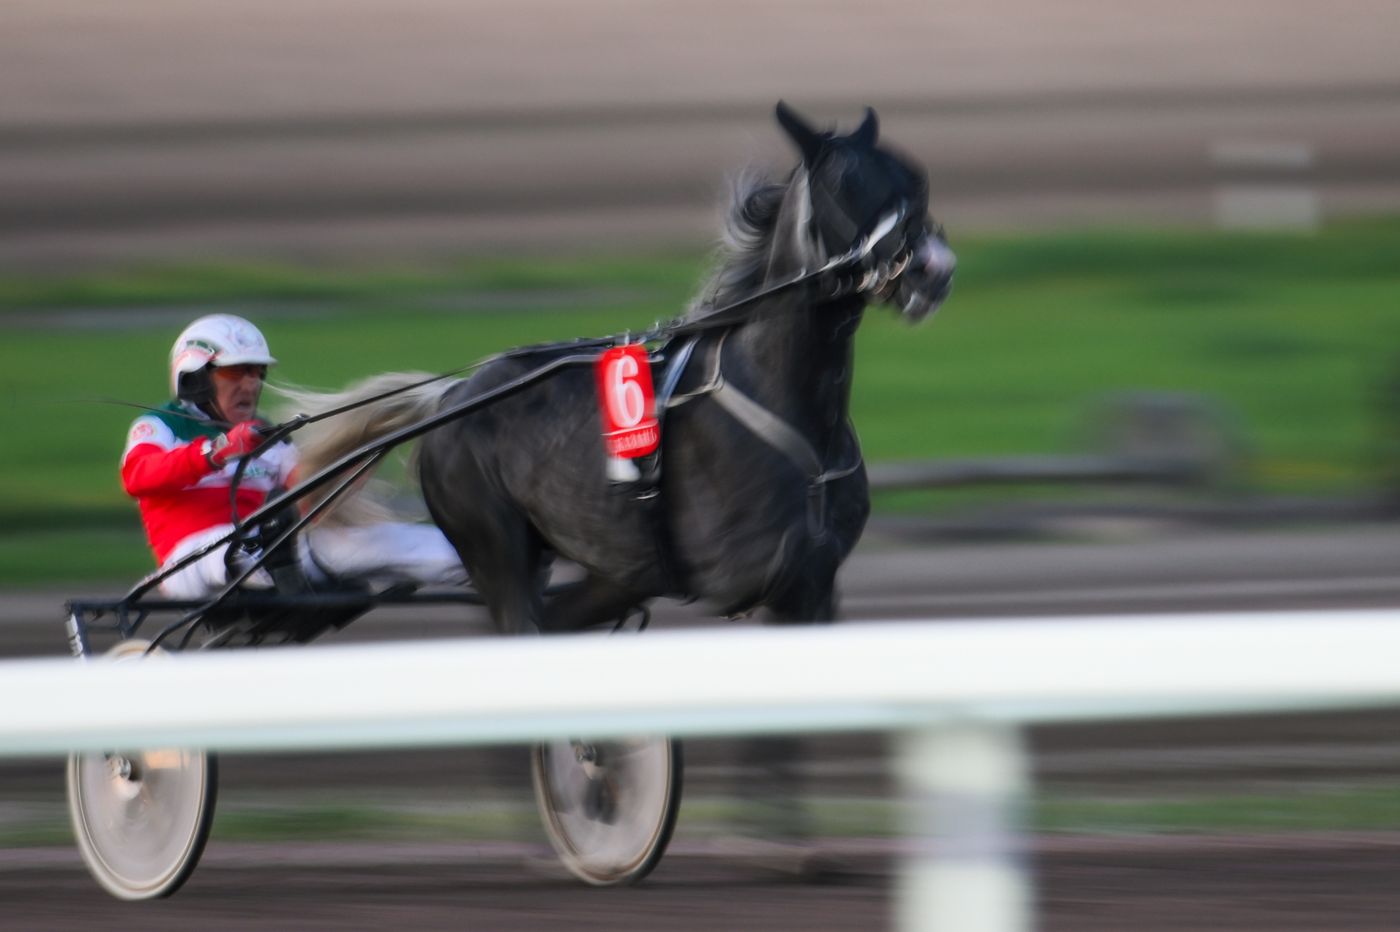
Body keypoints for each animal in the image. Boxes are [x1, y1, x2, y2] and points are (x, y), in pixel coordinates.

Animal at [285, 102, 956, 636]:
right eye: (847, 184)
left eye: (916, 179)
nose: (934, 270)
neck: (784, 406)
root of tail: (452, 397)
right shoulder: (760, 585)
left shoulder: (813, 588)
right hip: (494, 546)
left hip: (611, 569)